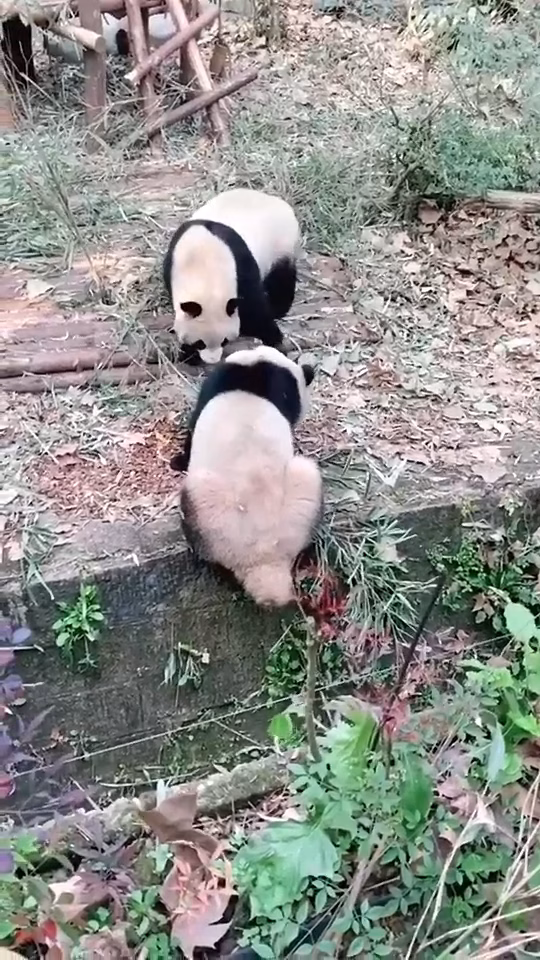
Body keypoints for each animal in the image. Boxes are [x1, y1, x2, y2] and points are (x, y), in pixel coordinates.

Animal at [163, 188, 301, 365]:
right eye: (200, 343)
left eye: (224, 341)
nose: (212, 361)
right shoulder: (170, 266)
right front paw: (188, 354)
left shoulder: (241, 266)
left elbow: (254, 307)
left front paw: (274, 339)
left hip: (281, 244)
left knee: (282, 276)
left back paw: (278, 307)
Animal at [169, 345, 323, 608]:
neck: (257, 363)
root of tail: (264, 560)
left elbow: (192, 428)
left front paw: (178, 461)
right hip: (302, 496)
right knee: (308, 475)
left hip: (212, 514)